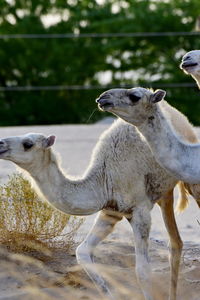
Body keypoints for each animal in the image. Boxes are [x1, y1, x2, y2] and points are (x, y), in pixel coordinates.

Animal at [0, 108, 197, 300]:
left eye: (27, 144)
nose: (1, 143)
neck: (104, 177)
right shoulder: (111, 211)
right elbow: (82, 252)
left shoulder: (140, 211)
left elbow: (143, 271)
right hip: (164, 192)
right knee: (176, 242)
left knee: (175, 240)